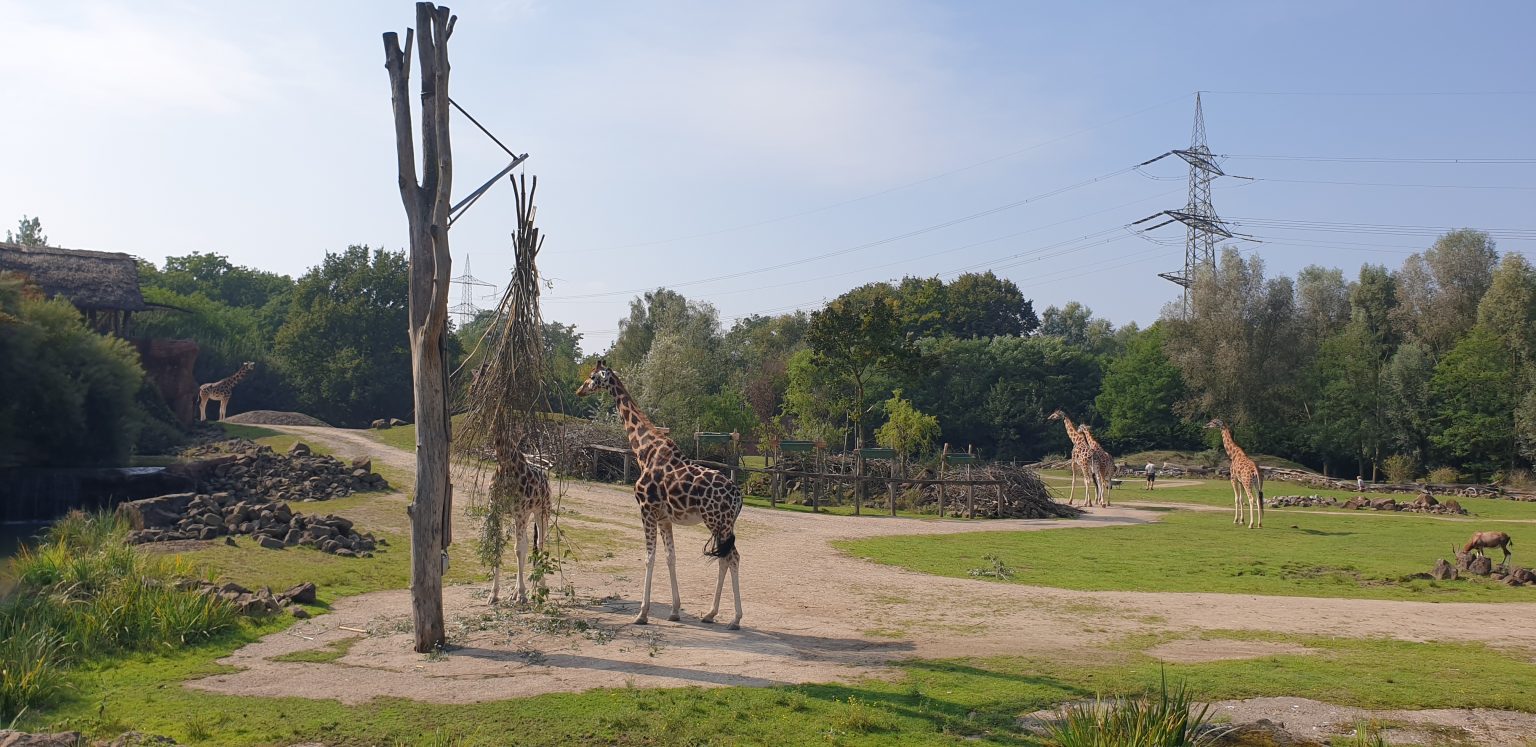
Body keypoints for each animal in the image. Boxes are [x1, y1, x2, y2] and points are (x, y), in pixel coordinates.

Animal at [489, 442, 553, 606]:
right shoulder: (496, 511)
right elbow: (499, 547)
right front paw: (493, 594)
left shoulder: (520, 512)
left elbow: (518, 549)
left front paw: (523, 594)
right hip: (525, 516)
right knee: (526, 543)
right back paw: (515, 592)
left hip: (542, 512)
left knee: (540, 543)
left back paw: (540, 585)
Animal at [576, 361, 744, 629]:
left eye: (592, 377)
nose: (579, 390)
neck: (643, 450)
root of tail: (739, 495)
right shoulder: (665, 518)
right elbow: (670, 557)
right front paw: (674, 611)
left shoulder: (646, 509)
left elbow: (649, 557)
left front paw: (642, 614)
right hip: (723, 525)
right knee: (725, 559)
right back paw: (710, 614)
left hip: (717, 521)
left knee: (733, 558)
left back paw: (735, 619)